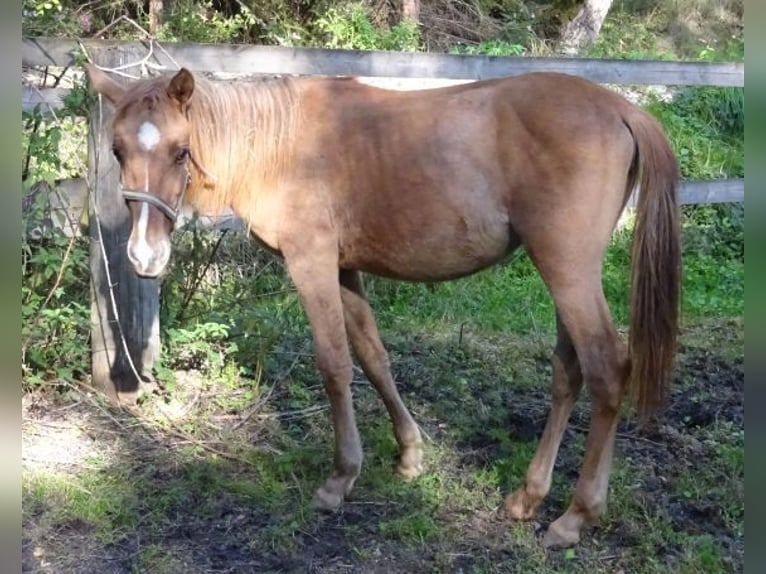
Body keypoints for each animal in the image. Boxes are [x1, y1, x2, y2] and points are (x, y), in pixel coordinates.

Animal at [85, 63, 681, 548]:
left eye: (180, 151)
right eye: (118, 151)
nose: (143, 255)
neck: (280, 145)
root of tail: (623, 109)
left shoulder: (311, 263)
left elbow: (334, 366)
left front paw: (340, 479)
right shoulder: (345, 269)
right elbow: (373, 357)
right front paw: (410, 454)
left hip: (568, 269)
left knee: (607, 368)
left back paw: (576, 516)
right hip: (563, 272)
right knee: (567, 372)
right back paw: (528, 497)